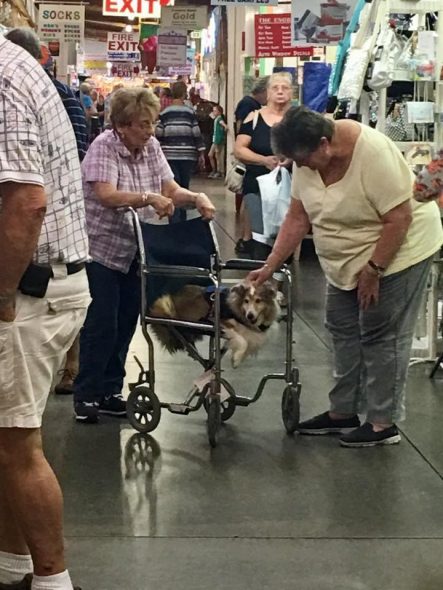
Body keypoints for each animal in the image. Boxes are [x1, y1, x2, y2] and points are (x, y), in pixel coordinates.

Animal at [150, 280, 280, 368]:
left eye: (258, 300)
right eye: (246, 301)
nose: (250, 315)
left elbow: (248, 344)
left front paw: (237, 358)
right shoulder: (221, 321)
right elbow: (242, 341)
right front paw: (236, 358)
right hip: (166, 304)